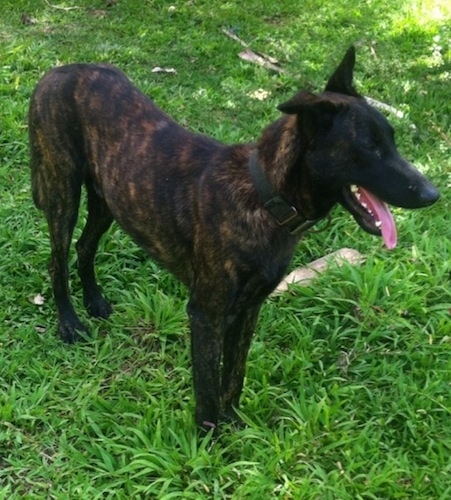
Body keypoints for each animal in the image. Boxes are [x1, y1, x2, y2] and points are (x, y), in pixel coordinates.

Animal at [30, 45, 440, 432]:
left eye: (392, 141)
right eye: (369, 147)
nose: (432, 194)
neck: (265, 197)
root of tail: (57, 71)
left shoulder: (248, 309)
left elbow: (234, 375)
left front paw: (234, 425)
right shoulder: (206, 314)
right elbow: (208, 386)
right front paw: (210, 441)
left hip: (108, 201)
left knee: (85, 246)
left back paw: (94, 300)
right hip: (62, 191)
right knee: (57, 259)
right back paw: (69, 322)